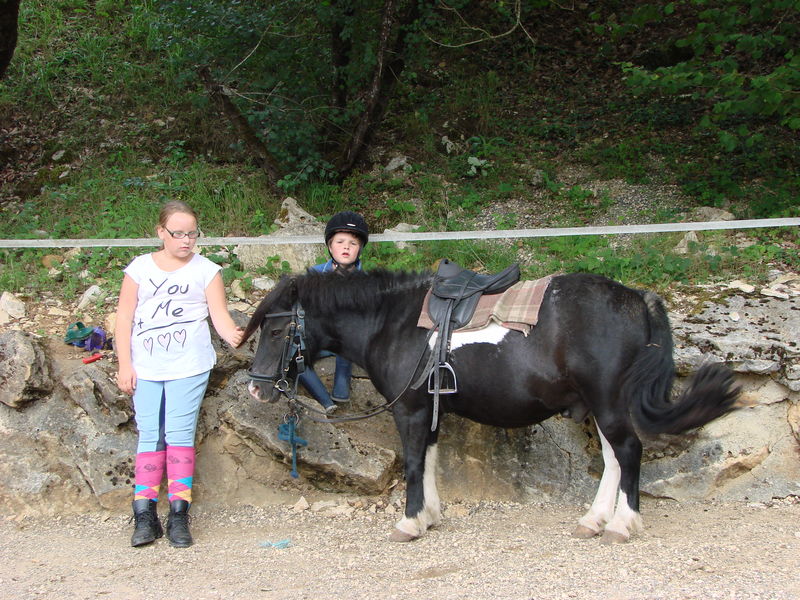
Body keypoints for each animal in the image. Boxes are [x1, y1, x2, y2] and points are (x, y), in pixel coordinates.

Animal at [241, 270, 740, 544]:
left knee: (630, 452)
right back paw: (594, 520)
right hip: (601, 407)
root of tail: (637, 298)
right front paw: (430, 515)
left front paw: (409, 522)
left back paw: (622, 524)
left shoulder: (410, 411)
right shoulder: (431, 410)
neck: (393, 321)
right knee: (615, 458)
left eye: (275, 331)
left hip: (609, 402)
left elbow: (414, 463)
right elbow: (431, 459)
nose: (257, 390)